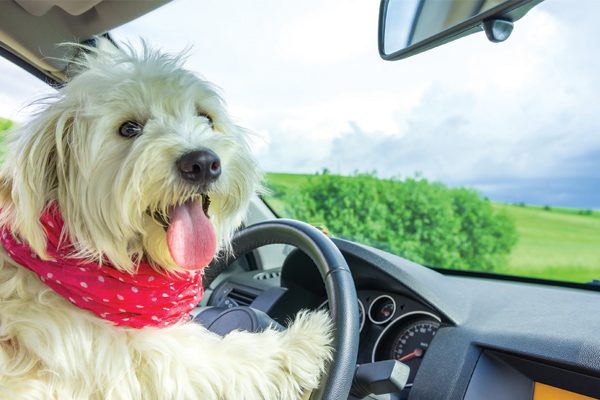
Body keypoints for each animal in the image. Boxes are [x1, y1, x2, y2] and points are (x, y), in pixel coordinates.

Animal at [0, 41, 332, 400]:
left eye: (205, 117)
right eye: (129, 128)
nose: (203, 163)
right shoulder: (152, 363)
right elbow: (231, 359)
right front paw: (305, 338)